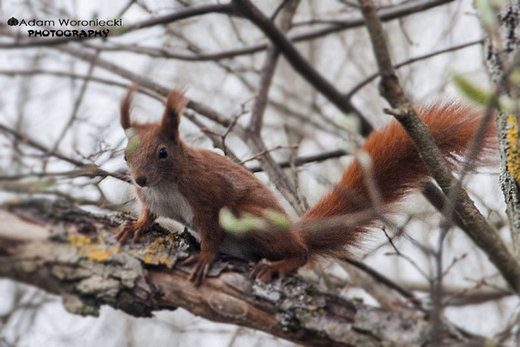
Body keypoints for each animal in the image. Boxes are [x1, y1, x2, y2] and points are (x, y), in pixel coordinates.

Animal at [116, 87, 498, 286]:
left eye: (163, 152)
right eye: (124, 154)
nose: (139, 179)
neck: (166, 184)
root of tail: (293, 230)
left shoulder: (207, 196)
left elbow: (210, 231)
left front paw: (204, 258)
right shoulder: (152, 199)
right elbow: (149, 214)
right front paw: (134, 226)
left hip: (250, 218)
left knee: (300, 253)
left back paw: (279, 264)